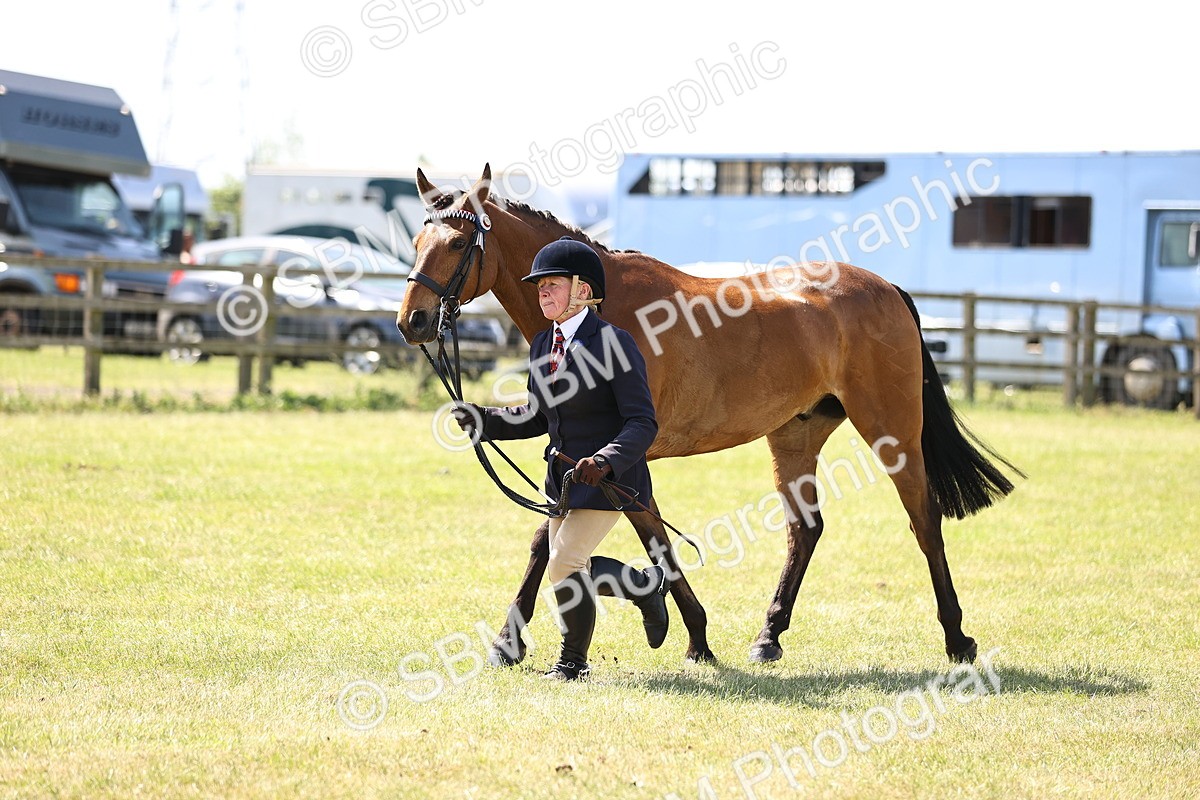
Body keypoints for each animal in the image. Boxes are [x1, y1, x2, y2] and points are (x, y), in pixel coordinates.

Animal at [397, 164, 1022, 666]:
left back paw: (957, 638)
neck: (598, 307)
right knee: (805, 529)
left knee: (924, 519)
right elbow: (553, 540)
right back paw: (769, 636)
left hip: (892, 431)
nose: (413, 322)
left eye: (458, 243)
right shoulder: (587, 459)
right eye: (417, 239)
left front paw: (693, 636)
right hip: (795, 435)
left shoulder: (618, 456)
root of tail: (887, 287)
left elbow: (646, 541)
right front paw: (509, 643)